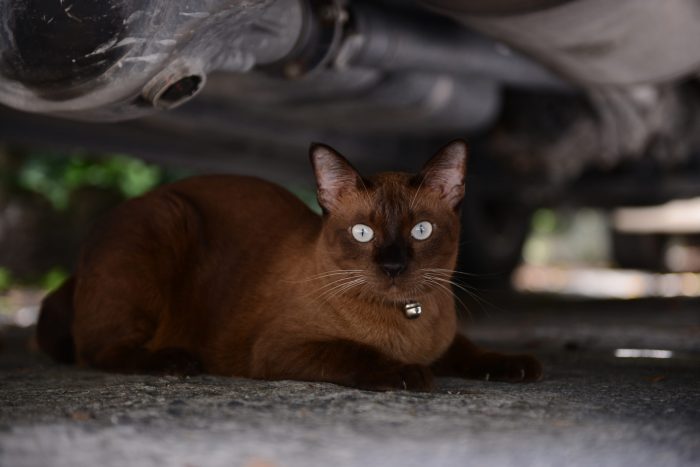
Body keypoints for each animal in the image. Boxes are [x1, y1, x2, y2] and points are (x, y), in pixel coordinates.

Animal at [37, 140, 540, 392]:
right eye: (363, 233)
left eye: (421, 231)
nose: (394, 266)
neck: (408, 320)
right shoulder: (283, 347)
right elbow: (356, 352)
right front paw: (407, 374)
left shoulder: (444, 340)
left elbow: (468, 350)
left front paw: (511, 365)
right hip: (166, 218)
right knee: (99, 351)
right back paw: (174, 362)